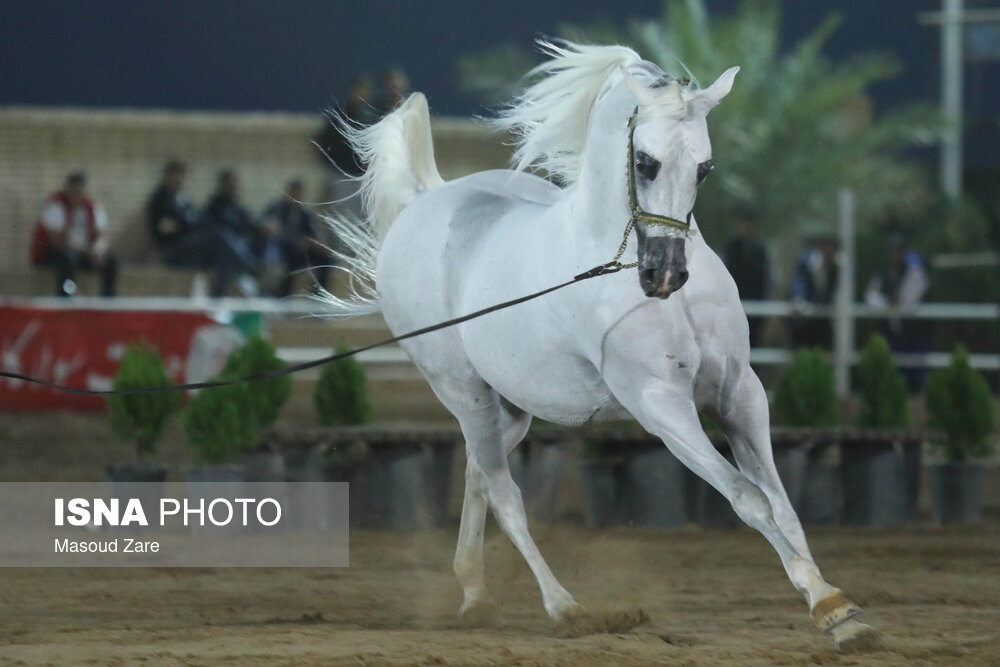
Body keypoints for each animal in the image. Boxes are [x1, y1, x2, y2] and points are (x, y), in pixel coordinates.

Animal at [326, 40, 876, 652]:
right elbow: (748, 498)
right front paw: (828, 604)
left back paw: (475, 595)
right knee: (506, 496)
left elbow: (784, 506)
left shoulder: (740, 394)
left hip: (510, 408)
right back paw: (566, 608)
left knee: (478, 474)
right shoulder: (661, 405)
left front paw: (837, 609)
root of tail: (426, 203)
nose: (665, 275)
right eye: (645, 162)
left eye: (705, 168)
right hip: (462, 390)